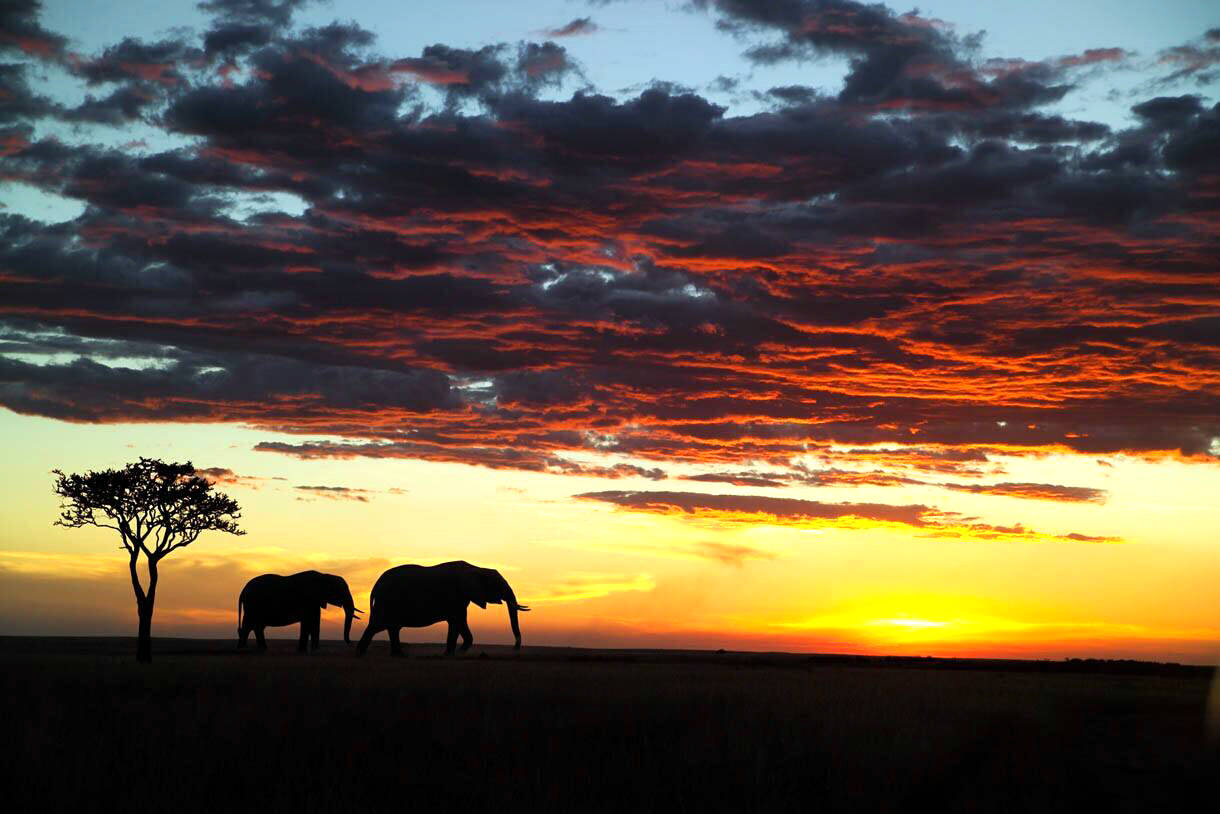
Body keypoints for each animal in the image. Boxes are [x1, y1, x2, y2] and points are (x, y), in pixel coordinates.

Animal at [353, 561, 524, 654]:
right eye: (497, 585)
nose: (515, 648)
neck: (477, 568)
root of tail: (376, 584)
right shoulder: (455, 596)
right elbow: (457, 621)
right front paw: (455, 653)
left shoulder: (461, 599)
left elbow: (457, 623)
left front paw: (453, 653)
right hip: (387, 602)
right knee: (377, 626)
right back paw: (360, 653)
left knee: (391, 628)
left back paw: (398, 655)